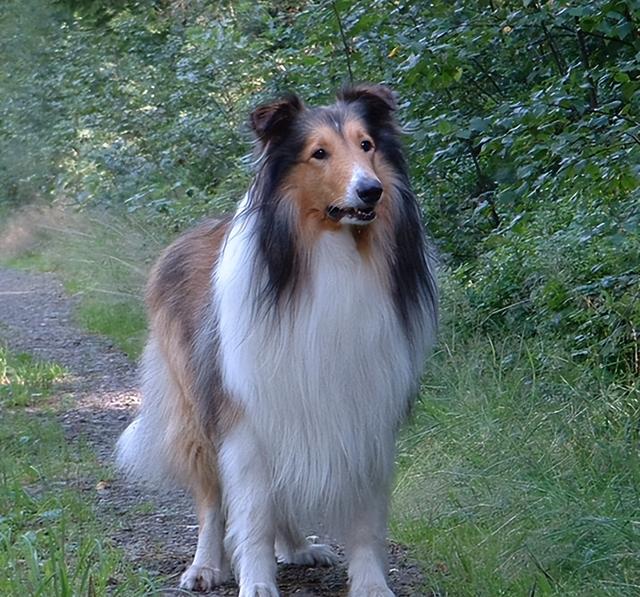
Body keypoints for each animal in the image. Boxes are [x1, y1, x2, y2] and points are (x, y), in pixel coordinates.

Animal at [117, 85, 438, 596]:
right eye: (318, 153)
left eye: (366, 145)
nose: (371, 190)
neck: (330, 254)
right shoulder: (246, 419)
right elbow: (252, 515)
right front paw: (256, 583)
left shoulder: (366, 414)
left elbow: (366, 520)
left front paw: (371, 584)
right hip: (200, 410)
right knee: (213, 503)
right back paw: (205, 566)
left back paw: (299, 547)